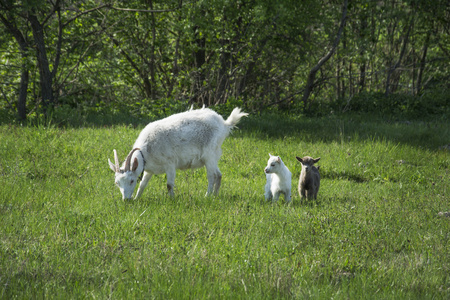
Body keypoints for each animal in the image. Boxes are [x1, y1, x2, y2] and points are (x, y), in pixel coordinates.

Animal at [109, 107, 250, 199]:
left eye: (131, 181)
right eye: (117, 183)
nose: (126, 200)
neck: (146, 150)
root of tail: (224, 124)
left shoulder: (170, 164)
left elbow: (169, 185)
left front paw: (172, 200)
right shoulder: (150, 170)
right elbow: (143, 185)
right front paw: (137, 198)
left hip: (209, 155)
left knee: (212, 176)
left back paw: (207, 196)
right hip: (214, 155)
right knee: (219, 175)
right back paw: (215, 195)